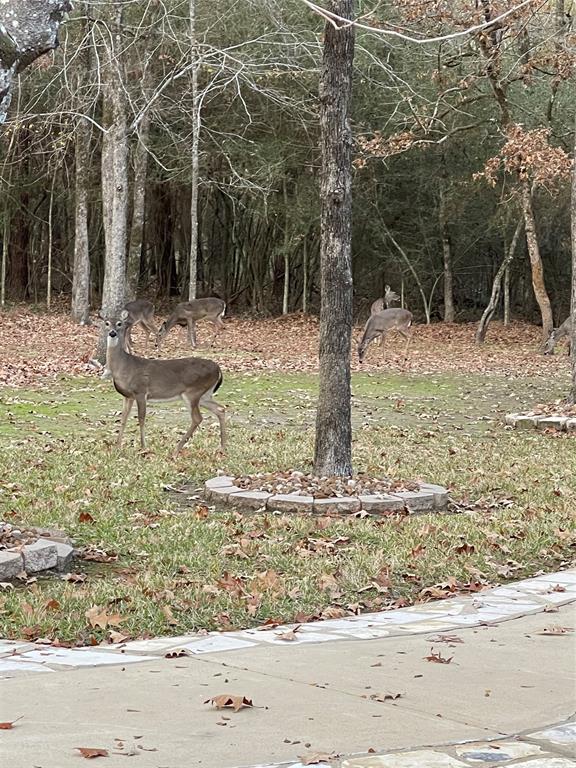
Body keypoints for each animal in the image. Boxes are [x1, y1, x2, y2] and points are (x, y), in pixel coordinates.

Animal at [104, 310, 226, 460]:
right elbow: (123, 418)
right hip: (205, 395)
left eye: (119, 323)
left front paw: (143, 447)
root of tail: (218, 369)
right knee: (220, 409)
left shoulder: (141, 391)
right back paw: (223, 447)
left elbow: (141, 418)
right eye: (106, 323)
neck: (124, 366)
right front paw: (117, 447)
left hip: (193, 392)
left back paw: (176, 450)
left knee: (197, 418)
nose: (112, 333)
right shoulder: (128, 396)